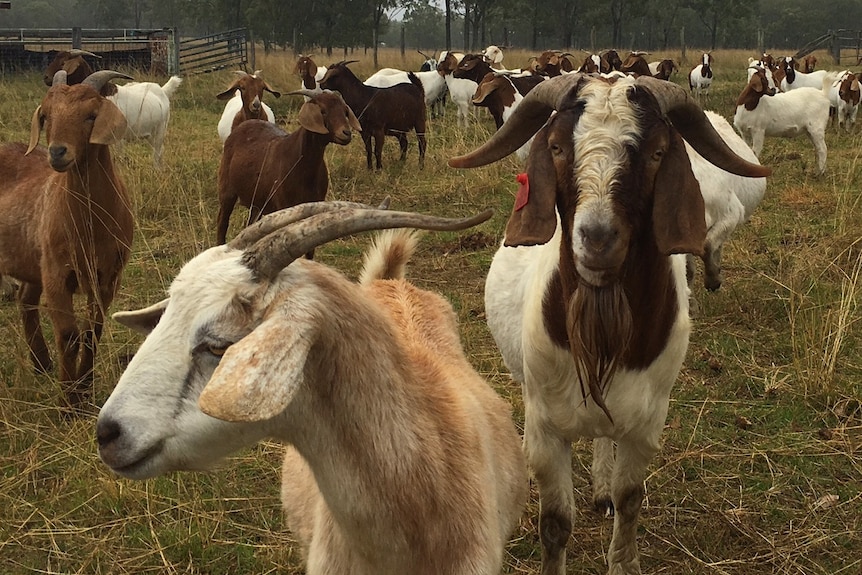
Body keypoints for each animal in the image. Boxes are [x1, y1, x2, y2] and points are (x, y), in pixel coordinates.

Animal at [0, 71, 134, 410]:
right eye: (46, 116)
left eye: (91, 115)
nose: (57, 153)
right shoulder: (57, 275)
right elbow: (68, 335)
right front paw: (68, 402)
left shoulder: (107, 277)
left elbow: (92, 333)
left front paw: (85, 389)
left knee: (26, 301)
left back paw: (41, 363)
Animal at [219, 90, 364, 245]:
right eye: (323, 111)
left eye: (345, 112)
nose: (346, 133)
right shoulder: (285, 205)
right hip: (226, 188)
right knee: (222, 222)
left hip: (257, 200)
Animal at [448, 73, 772, 575]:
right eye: (557, 147)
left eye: (656, 152)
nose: (597, 240)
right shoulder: (544, 427)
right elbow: (556, 522)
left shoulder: (646, 424)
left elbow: (629, 499)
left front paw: (622, 555)